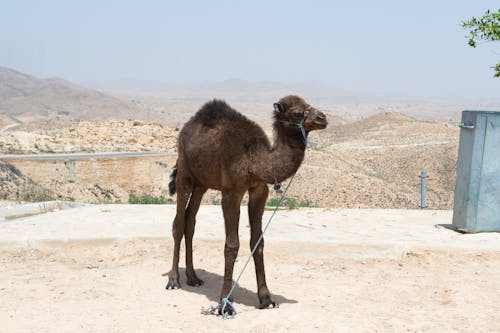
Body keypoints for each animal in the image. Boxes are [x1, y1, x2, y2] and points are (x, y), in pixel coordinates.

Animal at [166, 94, 326, 308]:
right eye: (297, 113)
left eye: (308, 104)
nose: (322, 117)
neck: (254, 160)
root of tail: (186, 128)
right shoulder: (231, 192)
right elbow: (231, 245)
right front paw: (224, 301)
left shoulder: (259, 189)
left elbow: (258, 242)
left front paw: (266, 299)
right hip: (185, 172)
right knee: (178, 223)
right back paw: (174, 280)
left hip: (202, 183)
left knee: (190, 222)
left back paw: (193, 278)